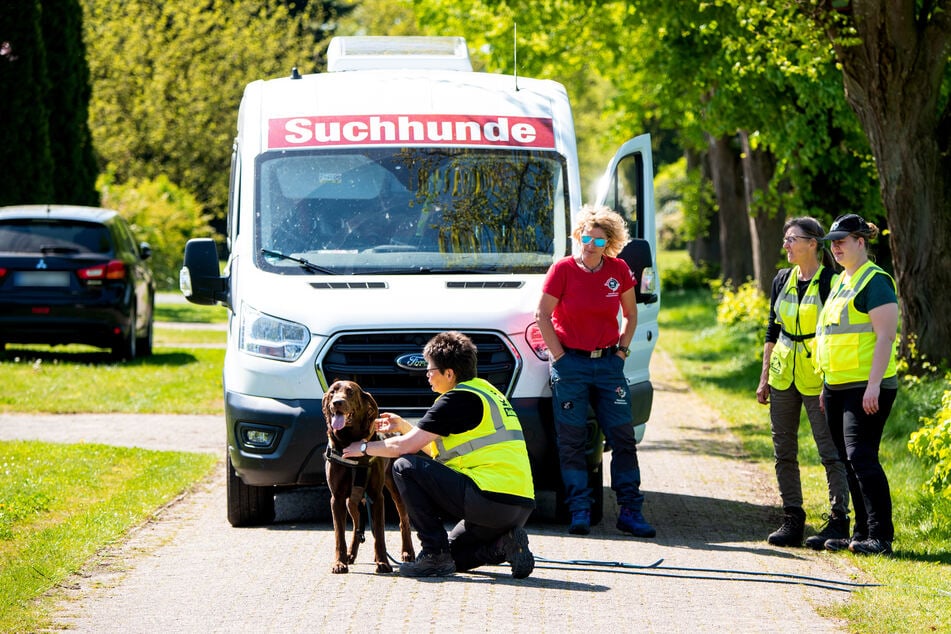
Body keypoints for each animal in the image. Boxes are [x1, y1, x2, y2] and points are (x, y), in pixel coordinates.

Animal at [322, 380, 414, 572]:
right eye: (333, 392)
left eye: (350, 392)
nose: (337, 403)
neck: (349, 440)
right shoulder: (337, 498)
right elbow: (339, 534)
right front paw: (339, 562)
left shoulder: (376, 496)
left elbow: (379, 532)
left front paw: (383, 562)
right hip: (352, 500)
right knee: (358, 524)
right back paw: (350, 554)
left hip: (395, 488)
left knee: (404, 520)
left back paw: (407, 552)